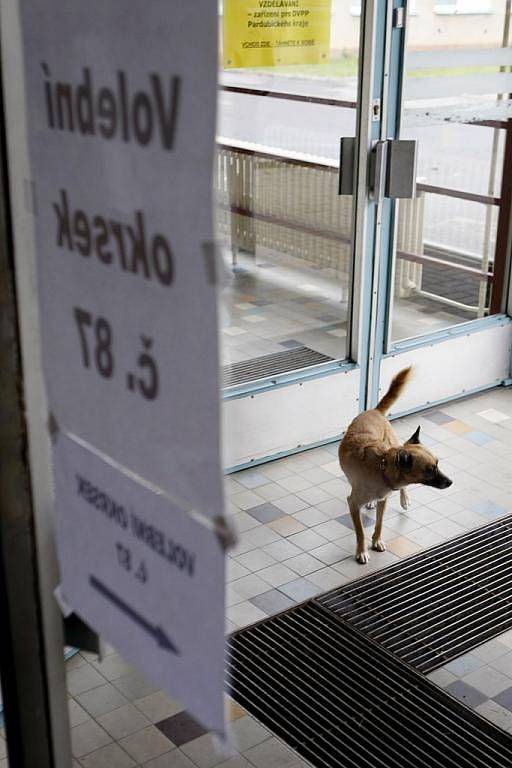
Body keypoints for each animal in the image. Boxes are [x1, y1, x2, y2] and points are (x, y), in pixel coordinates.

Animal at [340, 366, 452, 564]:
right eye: (429, 470)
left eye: (438, 464)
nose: (451, 482)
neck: (382, 468)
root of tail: (374, 411)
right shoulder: (353, 504)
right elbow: (360, 531)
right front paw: (362, 551)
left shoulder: (384, 499)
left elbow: (379, 523)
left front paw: (377, 541)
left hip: (394, 442)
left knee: (402, 487)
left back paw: (403, 499)